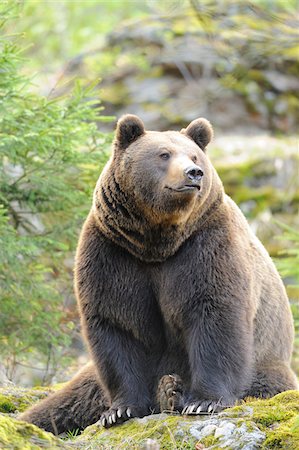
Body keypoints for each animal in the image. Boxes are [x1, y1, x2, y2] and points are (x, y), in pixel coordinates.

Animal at [19, 115, 298, 432]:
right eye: (163, 154)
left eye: (194, 156)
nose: (194, 173)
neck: (157, 242)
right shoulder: (113, 253)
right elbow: (117, 324)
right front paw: (120, 410)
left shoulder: (205, 246)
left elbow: (216, 314)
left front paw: (203, 401)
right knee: (65, 401)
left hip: (268, 365)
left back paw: (172, 390)